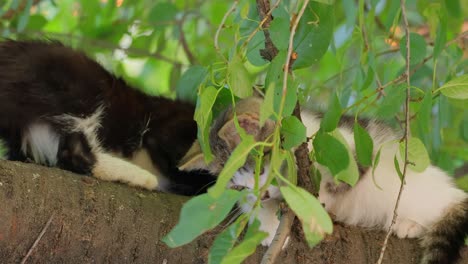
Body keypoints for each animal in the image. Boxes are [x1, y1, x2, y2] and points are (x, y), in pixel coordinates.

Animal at [179, 97, 468, 264]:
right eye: (239, 186)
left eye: (260, 171)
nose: (264, 194)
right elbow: (253, 207)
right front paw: (270, 227)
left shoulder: (350, 150)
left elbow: (334, 184)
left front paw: (314, 209)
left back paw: (409, 224)